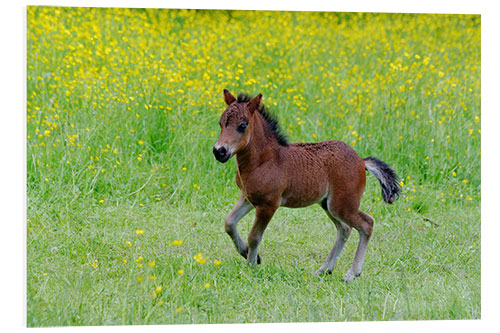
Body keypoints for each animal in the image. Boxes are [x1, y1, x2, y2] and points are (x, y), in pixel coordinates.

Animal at [213, 89, 400, 280]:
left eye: (243, 125)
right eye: (220, 123)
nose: (219, 151)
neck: (263, 160)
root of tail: (362, 161)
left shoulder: (268, 204)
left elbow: (254, 236)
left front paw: (251, 266)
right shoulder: (248, 197)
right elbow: (229, 222)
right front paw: (247, 254)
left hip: (342, 205)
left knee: (366, 224)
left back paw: (351, 274)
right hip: (328, 204)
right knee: (344, 229)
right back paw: (324, 269)